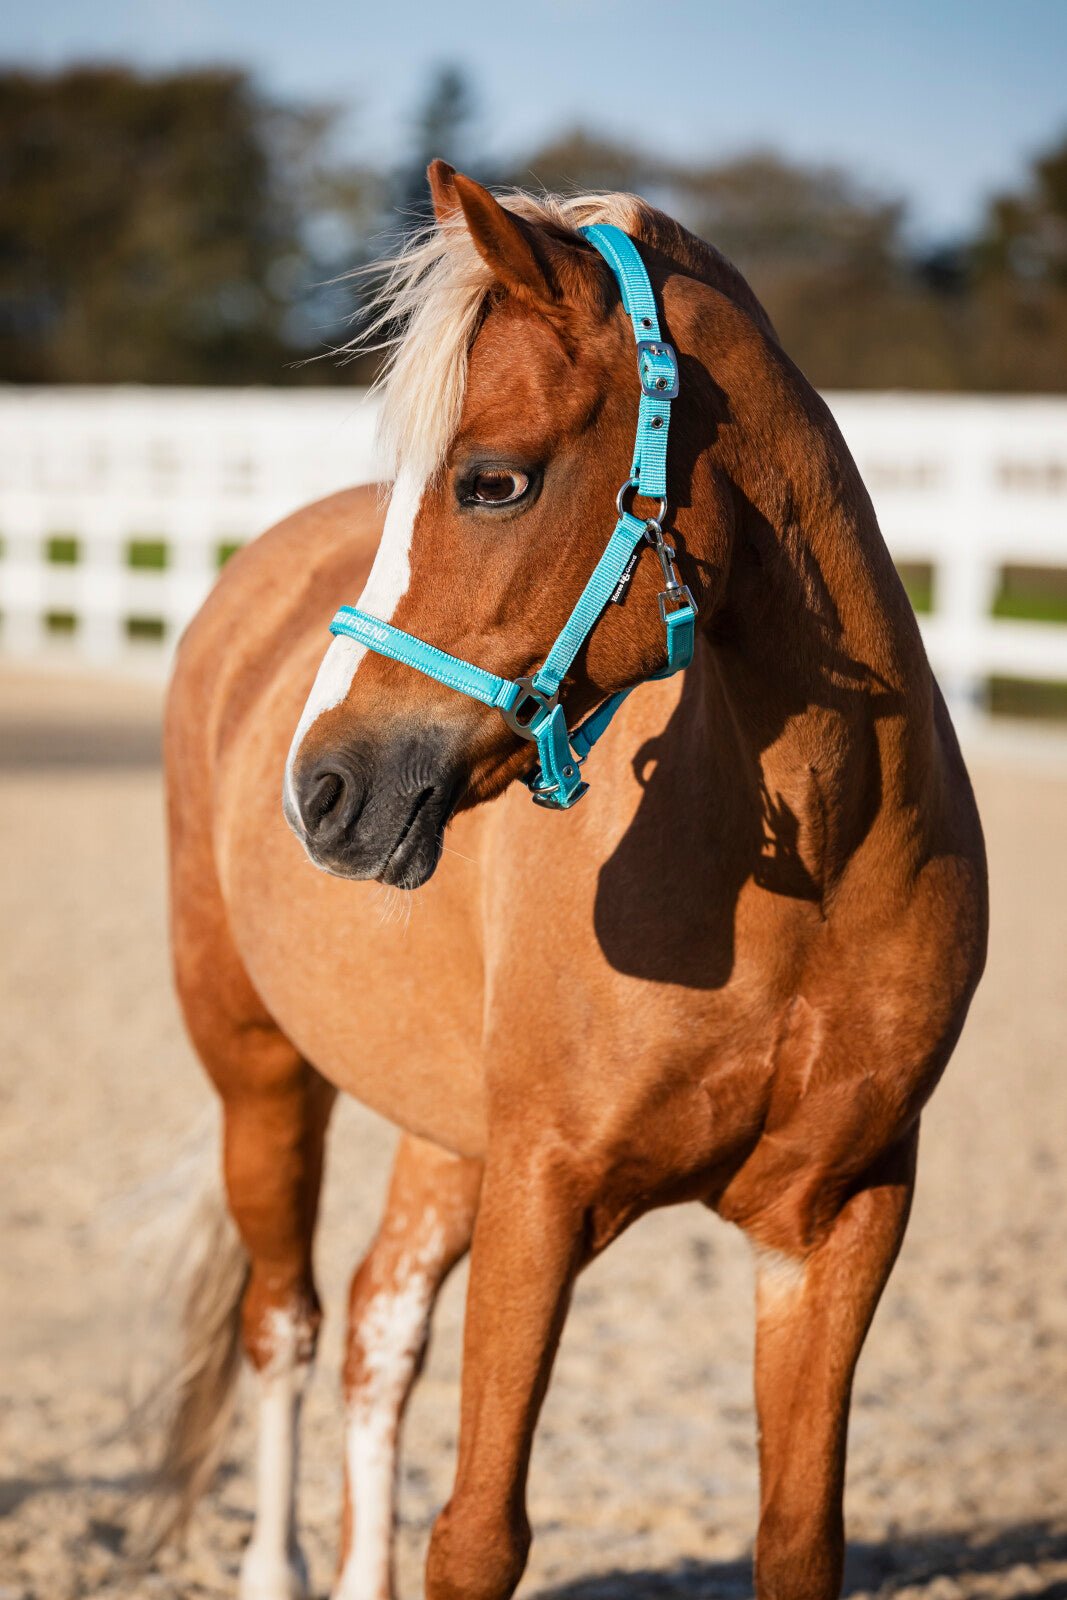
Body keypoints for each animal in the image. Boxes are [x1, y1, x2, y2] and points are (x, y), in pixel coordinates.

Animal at [157, 160, 988, 1600]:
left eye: (492, 481)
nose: (319, 789)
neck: (814, 876)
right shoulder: (540, 1194)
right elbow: (477, 1535)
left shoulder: (837, 1218)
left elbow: (796, 1535)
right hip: (257, 1074)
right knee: (287, 1324)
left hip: (441, 1130)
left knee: (374, 1328)